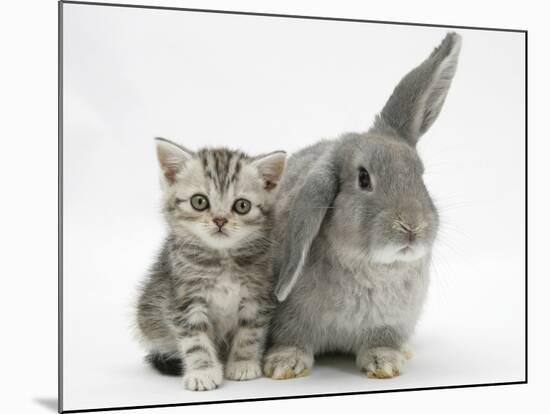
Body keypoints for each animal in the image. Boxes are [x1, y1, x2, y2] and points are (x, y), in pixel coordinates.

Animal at [136, 138, 286, 392]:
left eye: (242, 206)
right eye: (199, 201)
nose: (220, 220)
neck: (221, 260)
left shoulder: (257, 295)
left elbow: (250, 332)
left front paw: (243, 363)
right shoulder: (185, 299)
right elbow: (195, 341)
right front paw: (203, 372)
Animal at [266, 34, 464, 380]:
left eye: (420, 174)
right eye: (363, 178)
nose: (412, 226)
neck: (371, 268)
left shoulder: (390, 324)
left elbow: (381, 343)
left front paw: (386, 363)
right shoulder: (290, 320)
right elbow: (292, 339)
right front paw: (284, 364)